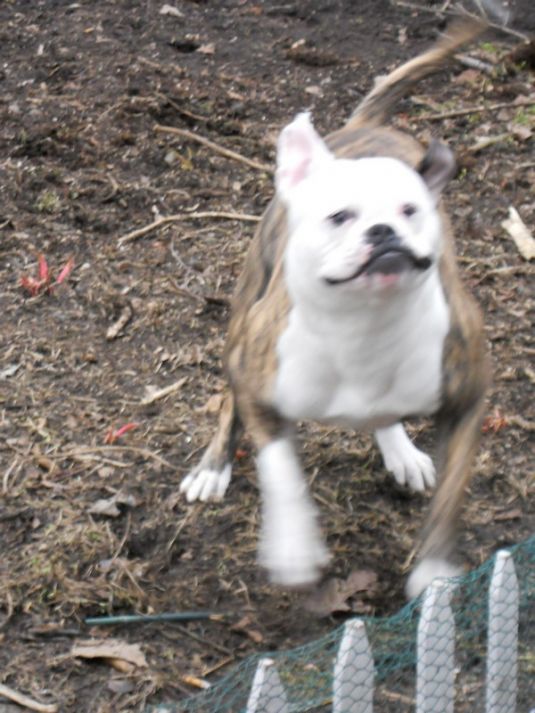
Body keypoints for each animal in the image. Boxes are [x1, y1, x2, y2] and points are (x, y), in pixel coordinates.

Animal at [179, 18, 490, 596]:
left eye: (411, 210)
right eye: (339, 216)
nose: (383, 231)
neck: (363, 323)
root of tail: (364, 127)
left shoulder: (467, 398)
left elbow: (451, 495)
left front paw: (435, 572)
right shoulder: (261, 387)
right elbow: (281, 471)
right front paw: (294, 546)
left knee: (387, 419)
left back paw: (400, 449)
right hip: (244, 308)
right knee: (229, 402)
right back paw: (213, 466)